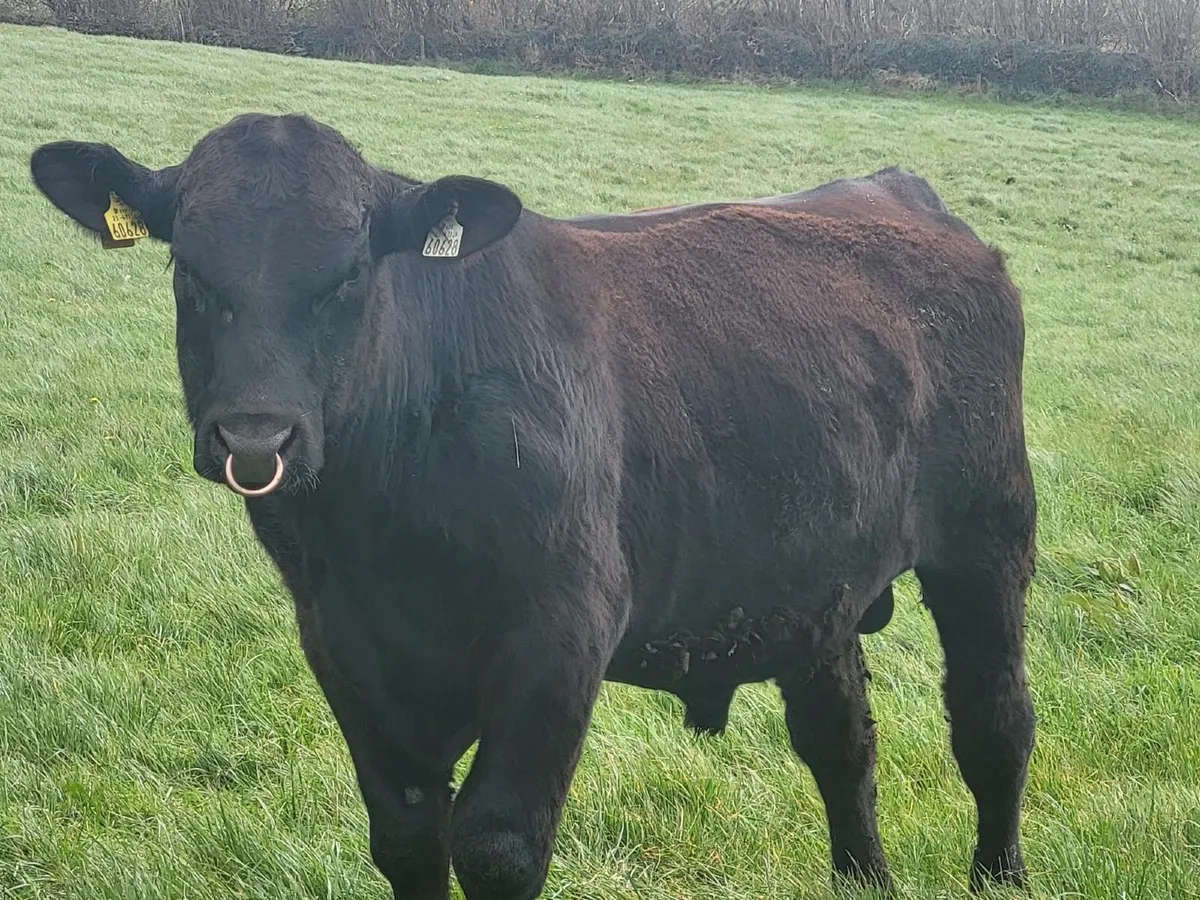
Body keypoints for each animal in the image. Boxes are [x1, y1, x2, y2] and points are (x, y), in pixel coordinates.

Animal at [29, 112, 1038, 900]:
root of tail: (900, 193)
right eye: (190, 271)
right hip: (816, 578)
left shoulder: (561, 633)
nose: (255, 437)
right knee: (841, 744)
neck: (376, 530)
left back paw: (1001, 875)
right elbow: (408, 838)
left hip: (988, 541)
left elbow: (499, 844)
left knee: (994, 724)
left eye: (349, 274)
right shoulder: (343, 646)